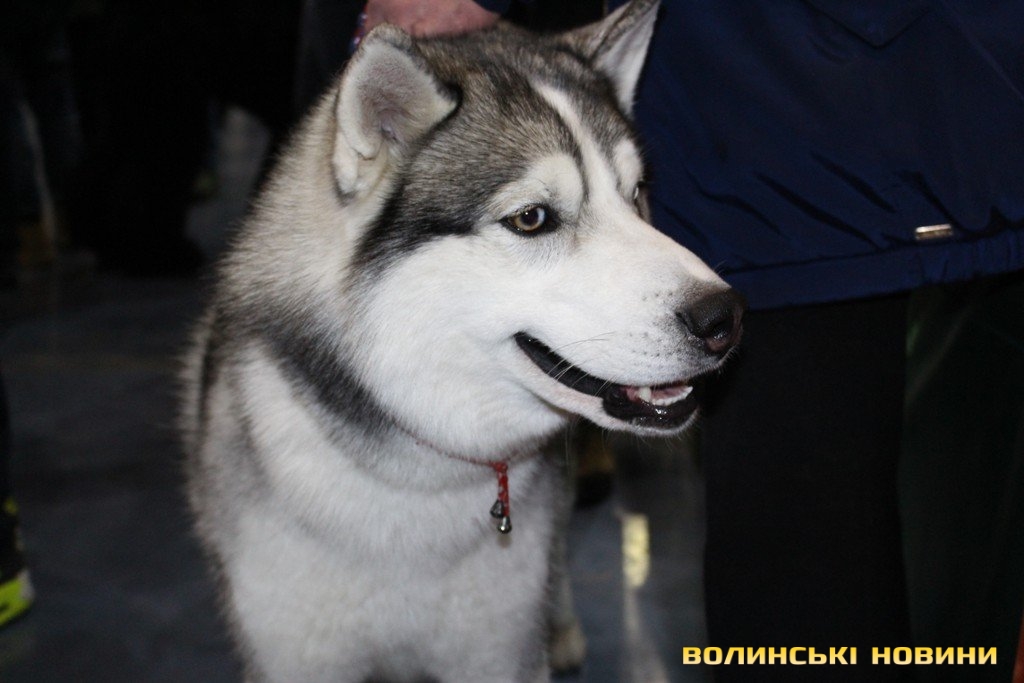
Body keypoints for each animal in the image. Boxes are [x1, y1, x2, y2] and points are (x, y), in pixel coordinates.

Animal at [181, 1, 743, 680]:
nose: (724, 317)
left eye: (634, 196)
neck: (421, 482)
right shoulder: (298, 652)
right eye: (531, 218)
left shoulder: (495, 648)